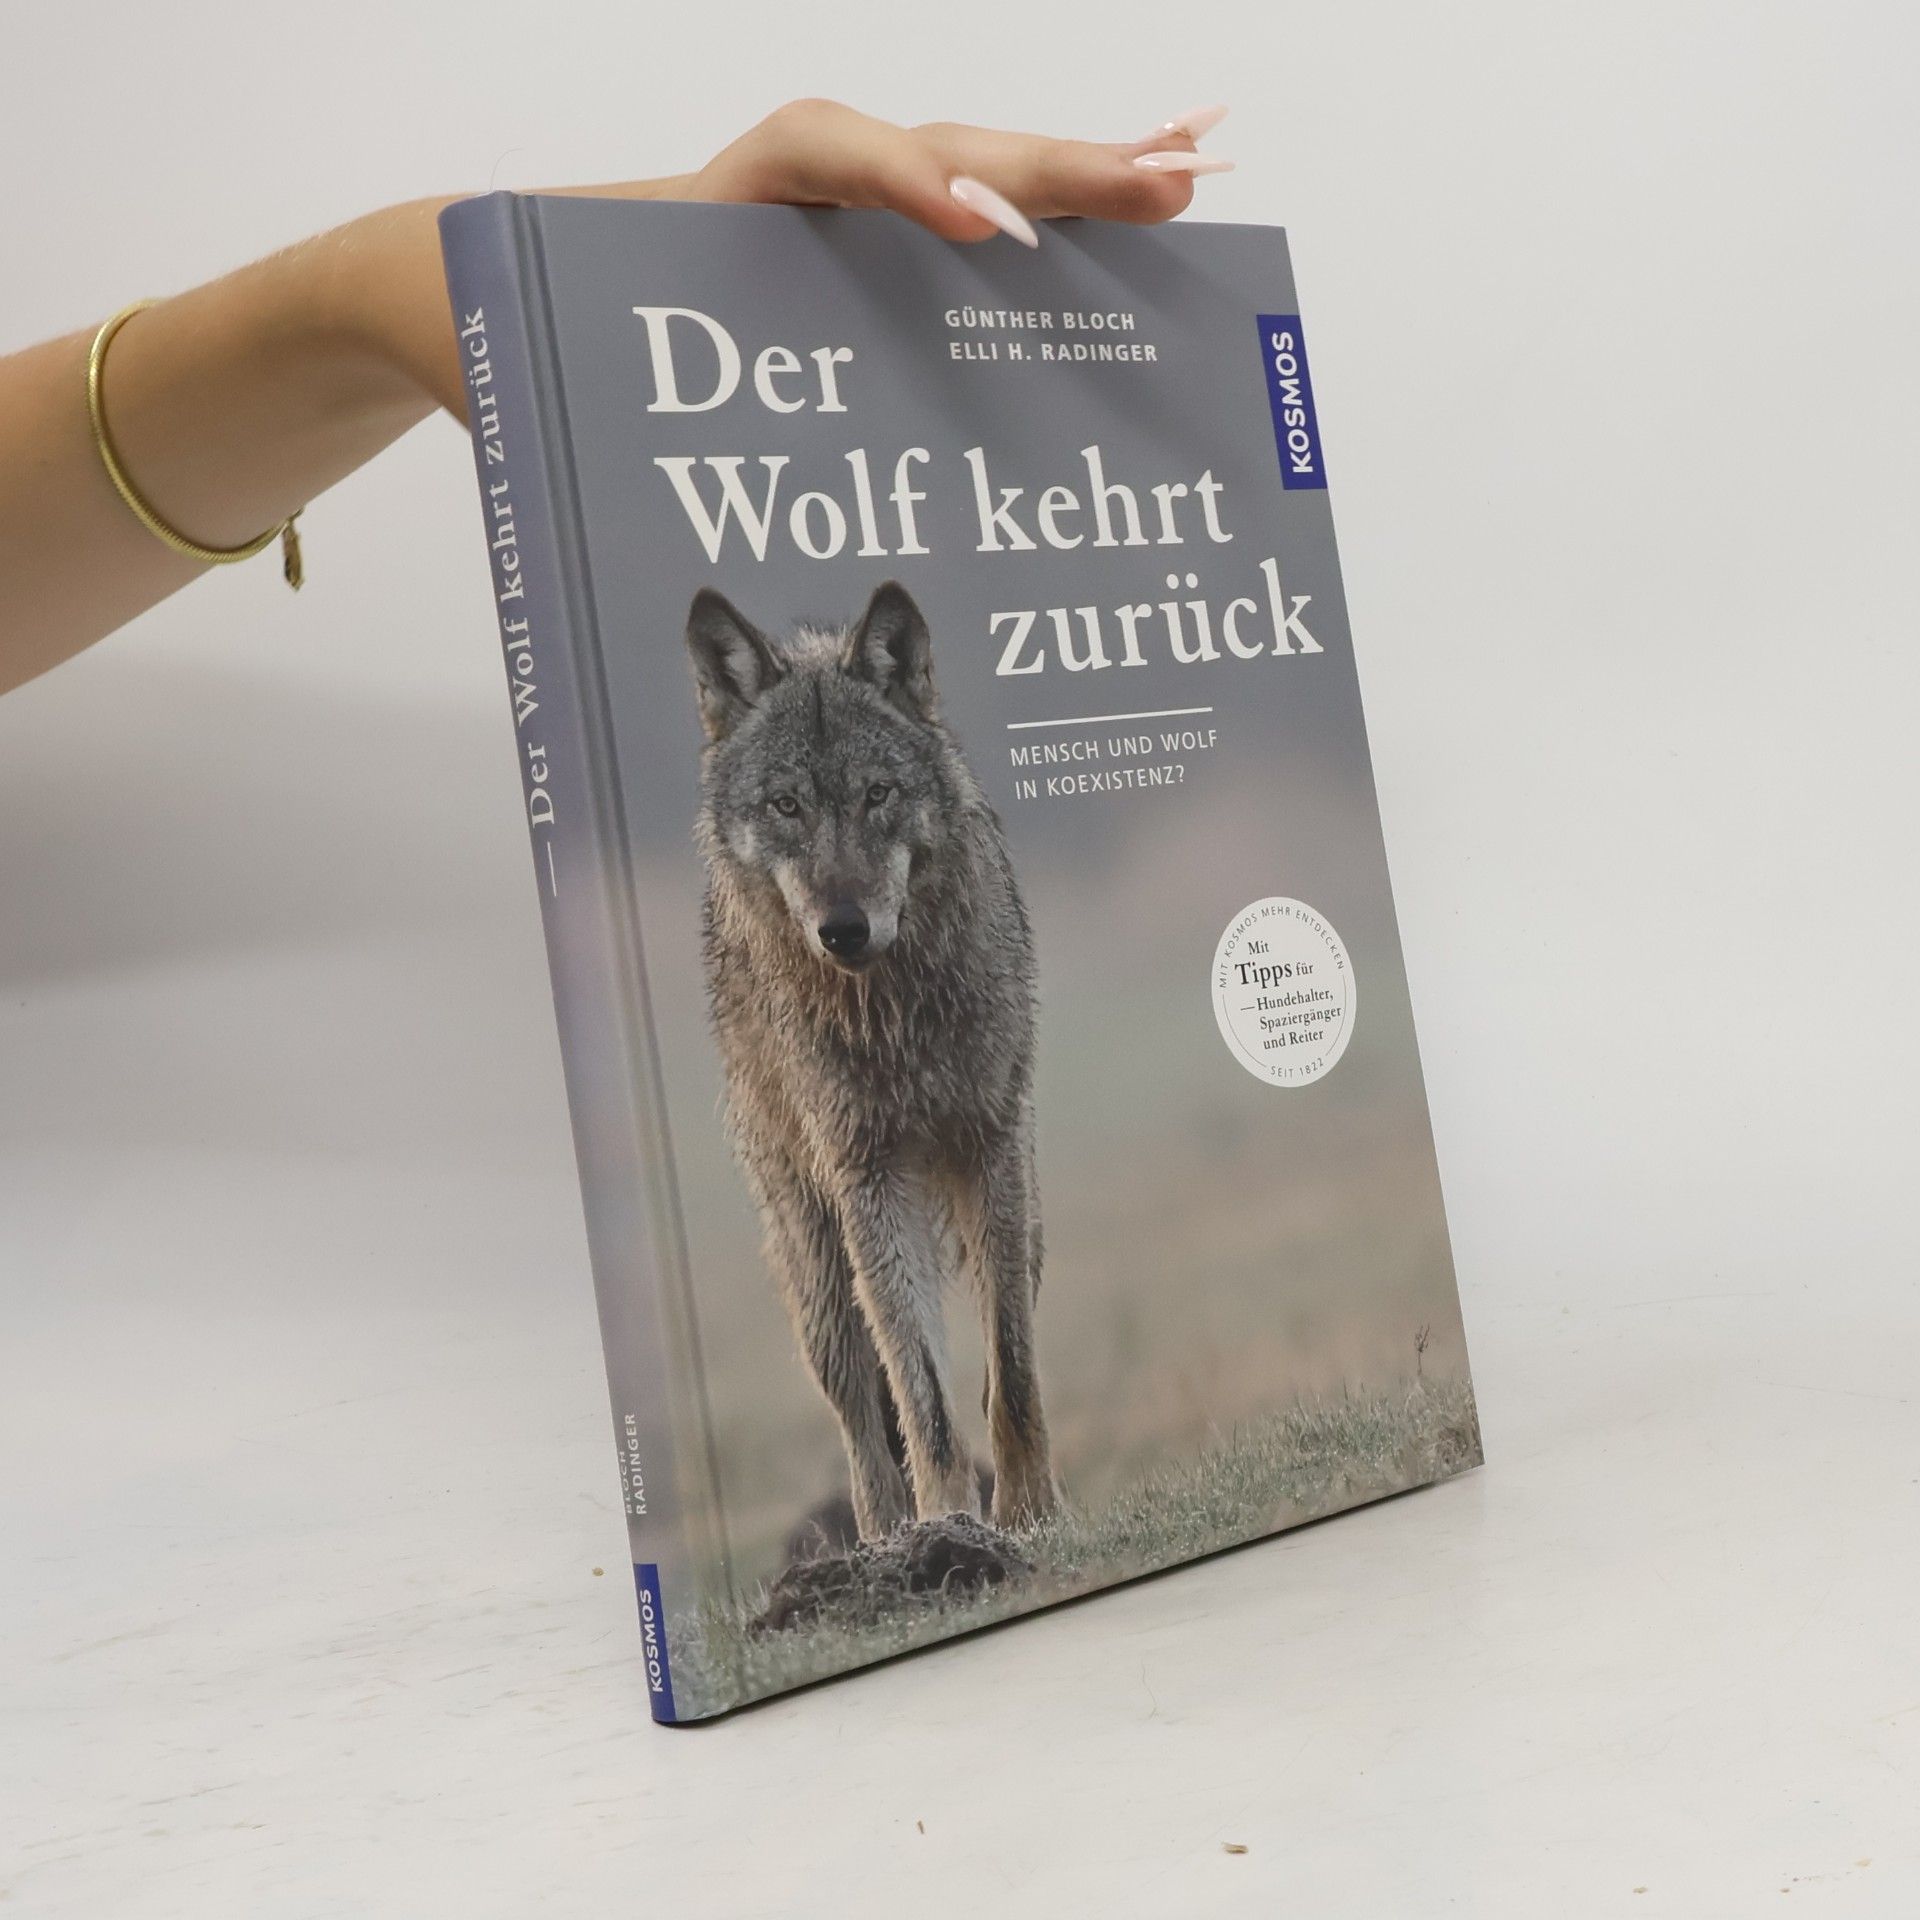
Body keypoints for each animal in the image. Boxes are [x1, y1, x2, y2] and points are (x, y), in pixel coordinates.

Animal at [686, 579, 1057, 1541]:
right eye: (787, 806)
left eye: (878, 794)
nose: (843, 928)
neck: (895, 1016)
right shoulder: (869, 1179)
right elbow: (922, 1399)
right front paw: (950, 1525)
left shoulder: (992, 1149)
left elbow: (1011, 1374)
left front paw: (1030, 1513)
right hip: (818, 1278)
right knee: (861, 1421)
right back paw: (885, 1543)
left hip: (1027, 1218)